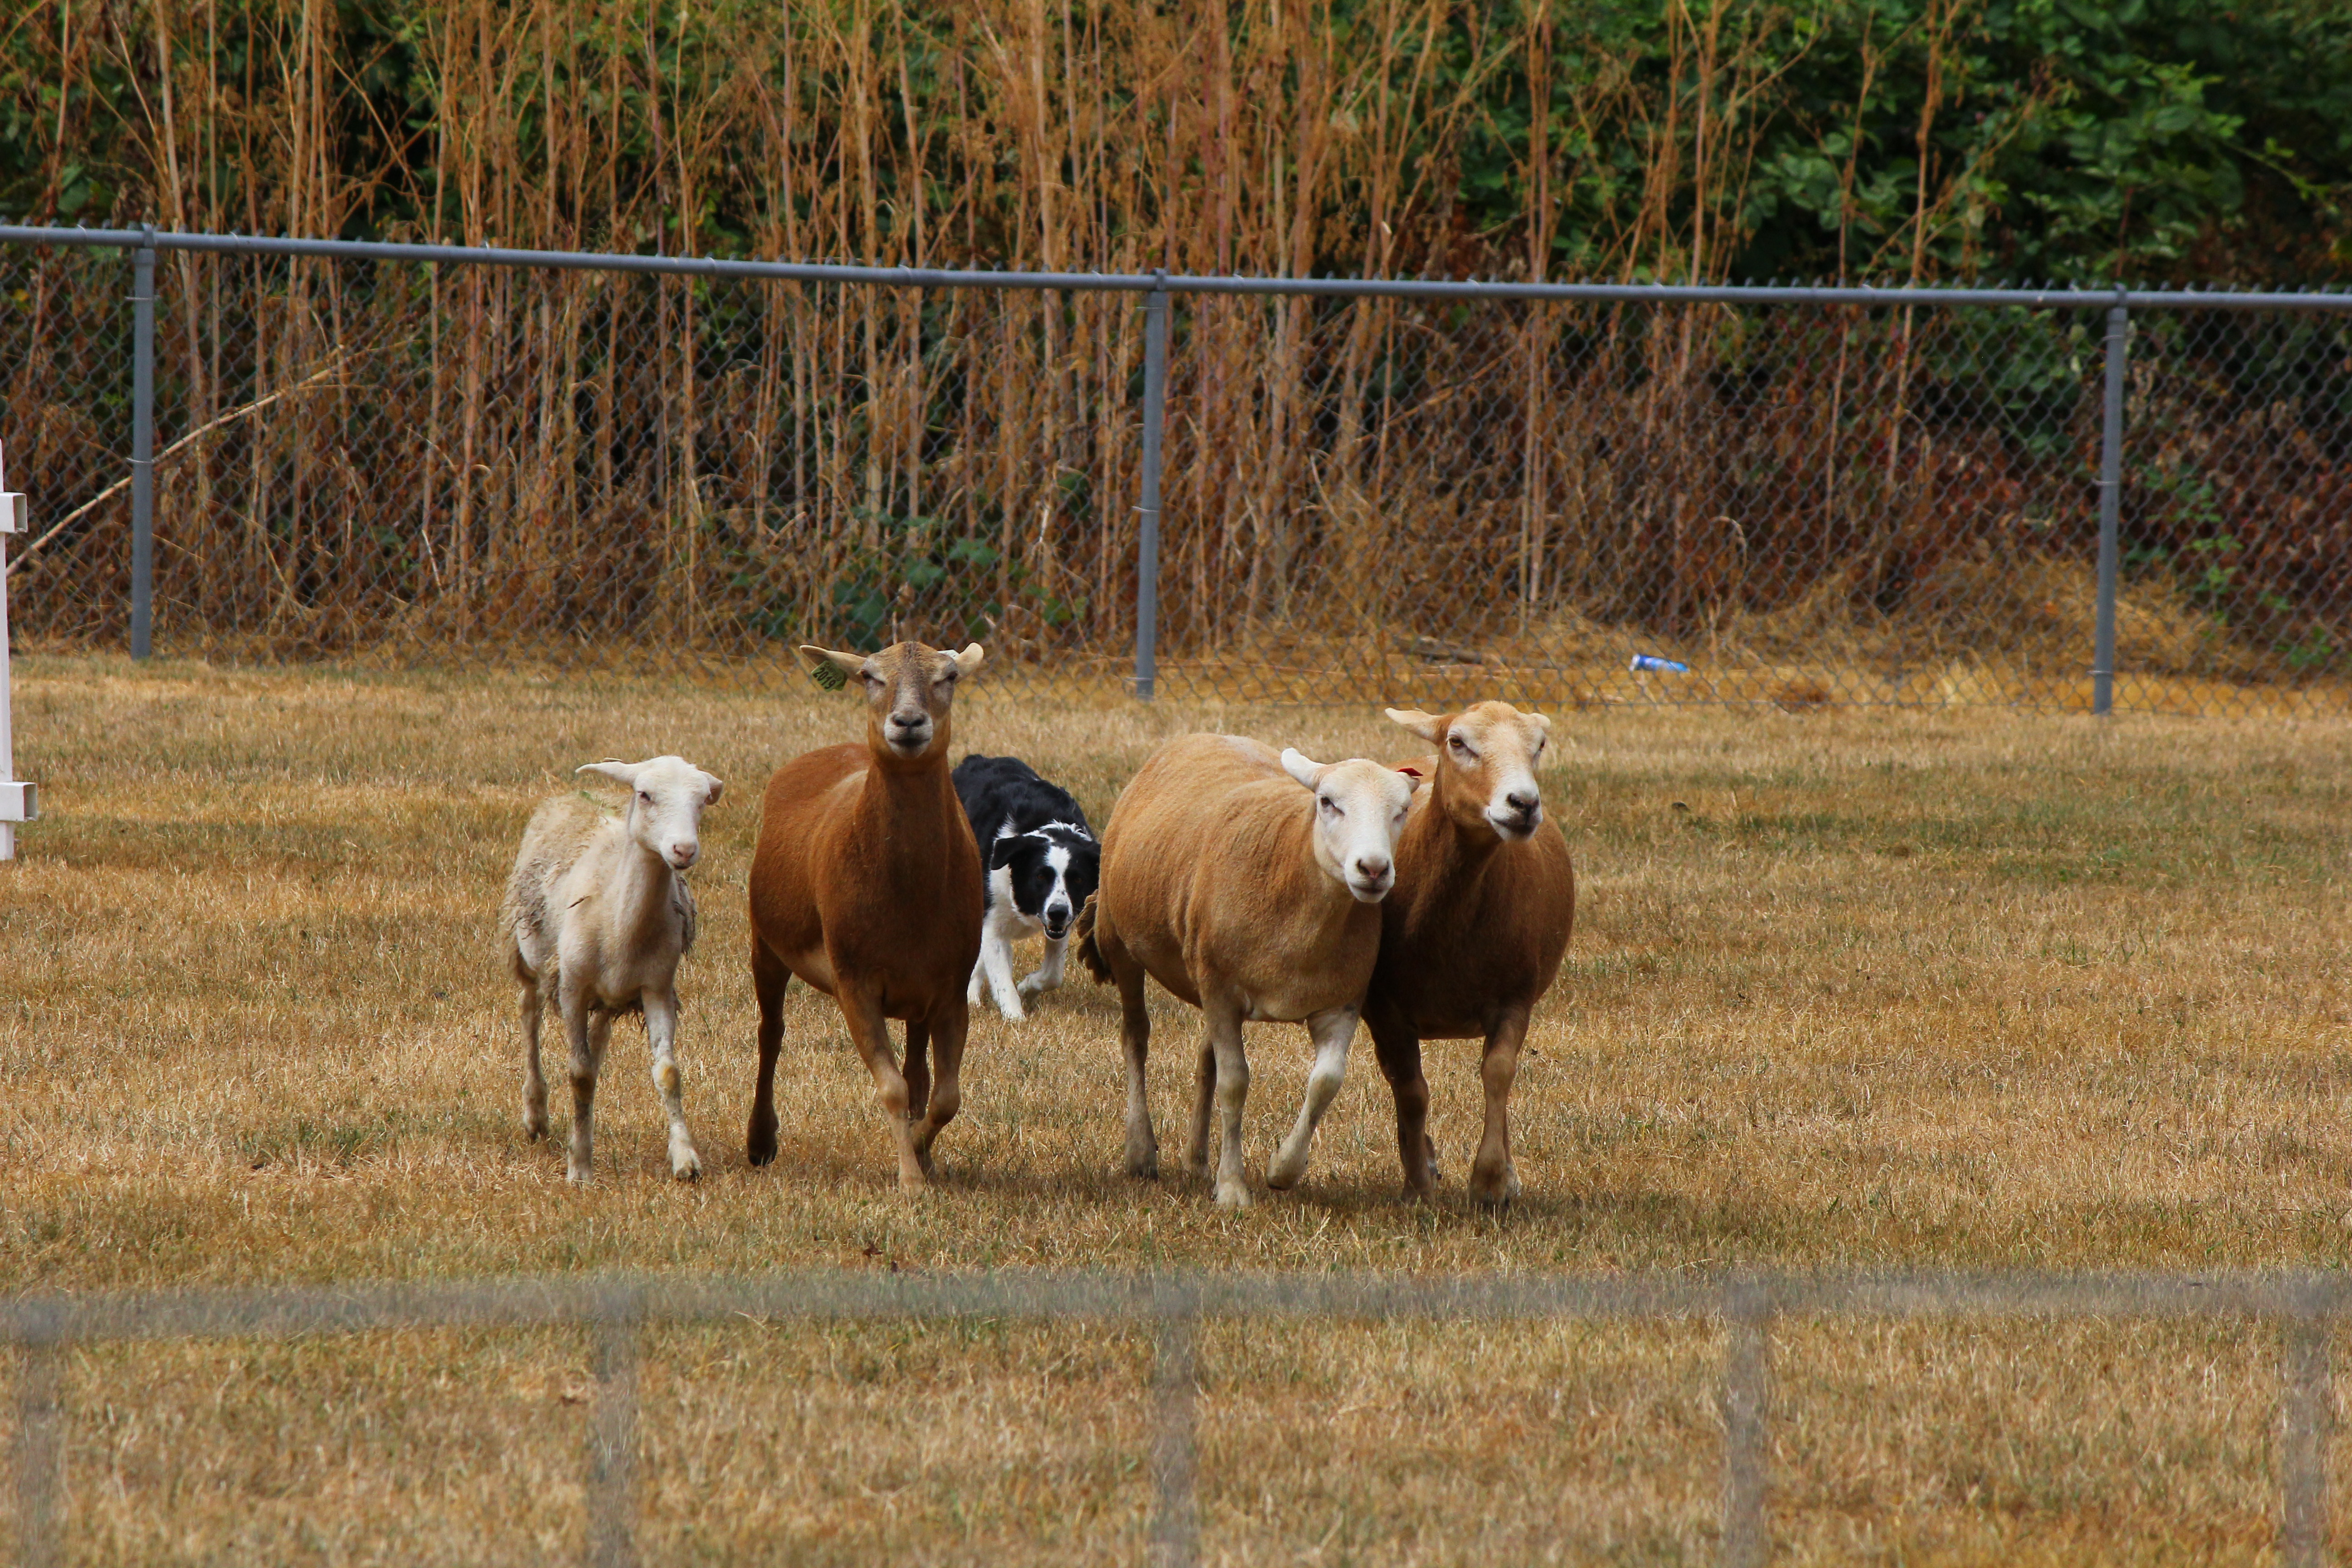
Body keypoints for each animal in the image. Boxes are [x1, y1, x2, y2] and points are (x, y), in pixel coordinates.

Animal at [503, 755, 725, 1184]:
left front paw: (686, 1159)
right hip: (533, 954)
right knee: (529, 1014)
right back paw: (536, 1113)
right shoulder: (571, 987)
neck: (620, 920)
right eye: (645, 794)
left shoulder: (657, 988)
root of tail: (576, 793)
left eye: (703, 800)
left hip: (609, 995)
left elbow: (668, 1073)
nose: (684, 849)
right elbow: (579, 1075)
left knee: (598, 1039)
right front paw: (579, 1168)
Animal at [746, 640, 987, 1190]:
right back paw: (760, 1142)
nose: (908, 722)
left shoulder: (952, 982)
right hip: (764, 937)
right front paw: (911, 1181)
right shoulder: (853, 976)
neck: (911, 908)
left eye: (950, 676)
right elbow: (893, 1087)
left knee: (920, 1072)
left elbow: (945, 1095)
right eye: (871, 677)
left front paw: (921, 1152)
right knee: (771, 1033)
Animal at [953, 754, 1101, 1020]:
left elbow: (1053, 975)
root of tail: (974, 759)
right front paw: (1015, 1018)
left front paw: (1027, 987)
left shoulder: (1063, 923)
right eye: (1040, 876)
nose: (1057, 912)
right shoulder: (992, 923)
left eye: (1078, 880)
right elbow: (1002, 979)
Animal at [1077, 734, 1417, 1207]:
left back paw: (1197, 1160)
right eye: (1327, 803)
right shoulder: (1221, 991)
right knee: (1136, 1038)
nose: (1373, 869)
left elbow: (1326, 1082)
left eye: (1402, 810)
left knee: (1205, 1059)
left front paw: (1283, 1169)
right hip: (1120, 940)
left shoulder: (1341, 1002)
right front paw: (1233, 1189)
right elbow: (1235, 1084)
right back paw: (1141, 1151)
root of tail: (1203, 735)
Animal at [1364, 703, 1575, 1204]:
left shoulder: (1515, 995)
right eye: (1458, 742)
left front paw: (1492, 1180)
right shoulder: (1385, 1007)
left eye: (1539, 745)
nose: (1523, 804)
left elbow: (1498, 1072)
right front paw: (1419, 1184)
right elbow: (1412, 1089)